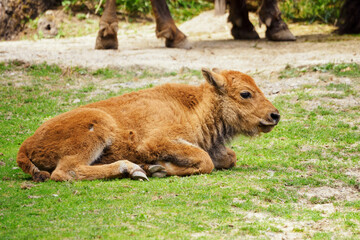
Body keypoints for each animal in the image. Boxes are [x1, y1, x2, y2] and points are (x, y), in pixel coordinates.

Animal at [16, 68, 280, 182]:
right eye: (245, 93)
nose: (274, 115)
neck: (194, 107)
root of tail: (26, 145)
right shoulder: (156, 142)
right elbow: (205, 162)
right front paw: (158, 168)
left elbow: (228, 158)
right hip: (96, 129)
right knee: (65, 172)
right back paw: (132, 169)